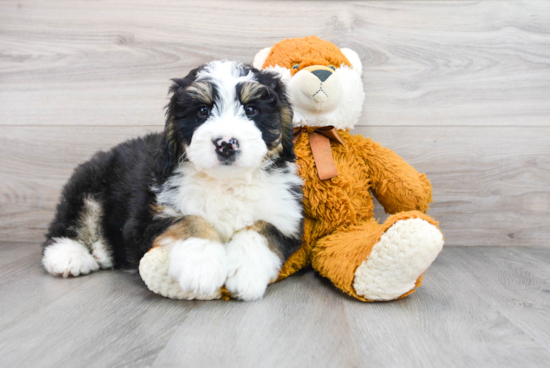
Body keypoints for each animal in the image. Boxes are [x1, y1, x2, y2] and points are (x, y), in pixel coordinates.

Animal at [41, 61, 304, 302]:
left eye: (251, 109)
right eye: (202, 111)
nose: (226, 143)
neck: (225, 181)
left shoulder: (287, 218)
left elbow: (262, 229)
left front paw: (245, 272)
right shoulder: (147, 217)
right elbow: (190, 221)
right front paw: (201, 266)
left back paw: (102, 252)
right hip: (89, 182)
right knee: (71, 222)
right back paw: (69, 256)